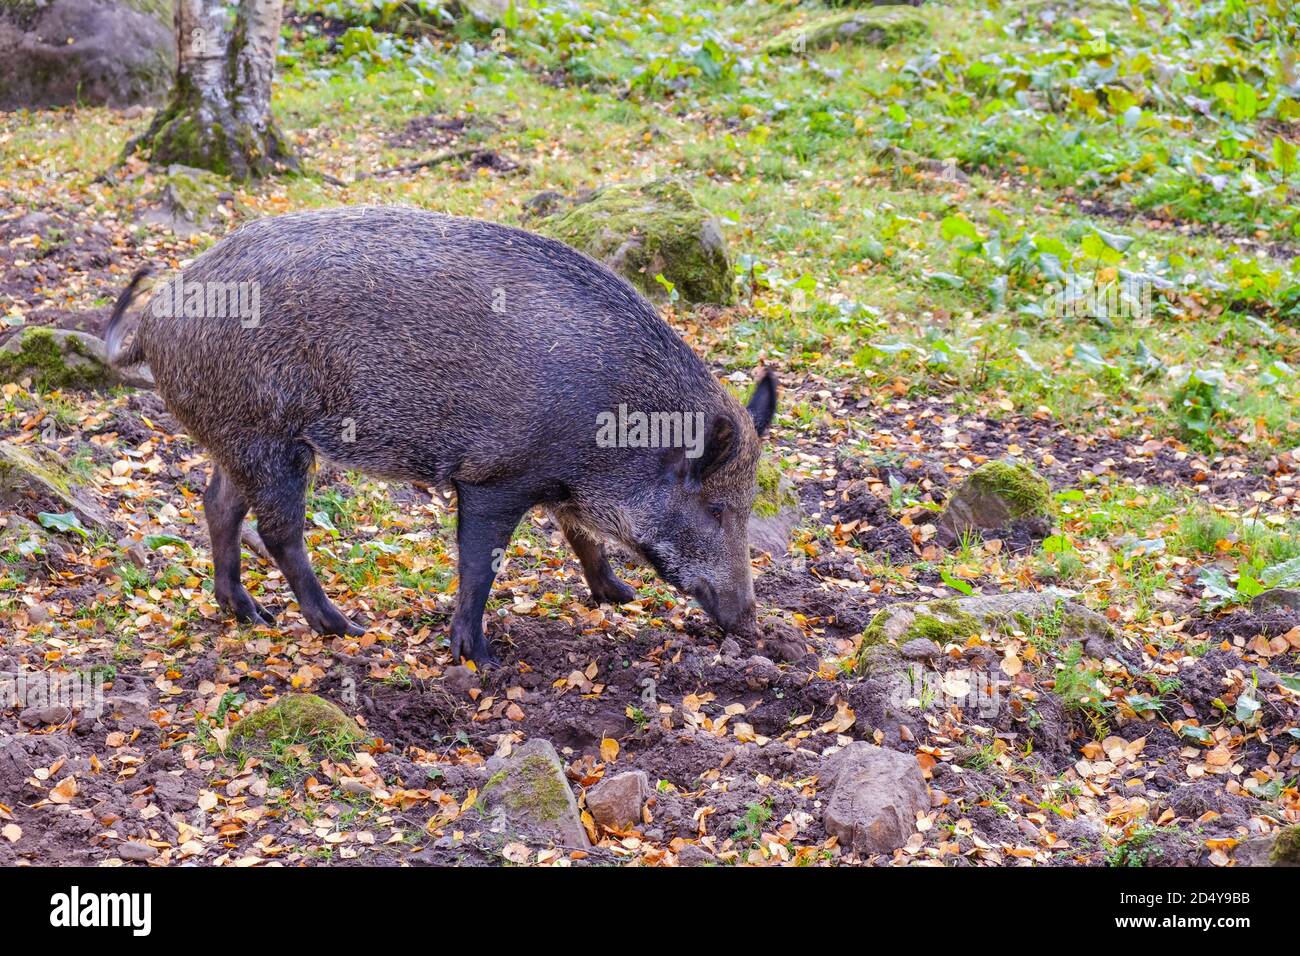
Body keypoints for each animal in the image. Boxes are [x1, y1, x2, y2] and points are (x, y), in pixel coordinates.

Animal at [106, 206, 777, 665]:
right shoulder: (494, 479)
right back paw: (343, 627)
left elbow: (583, 538)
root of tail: (154, 319)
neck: (615, 423)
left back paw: (248, 613)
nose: (750, 623)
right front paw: (480, 657)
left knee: (217, 503)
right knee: (278, 531)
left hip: (238, 438)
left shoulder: (560, 488)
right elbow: (480, 564)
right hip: (271, 440)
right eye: (717, 508)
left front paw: (621, 596)